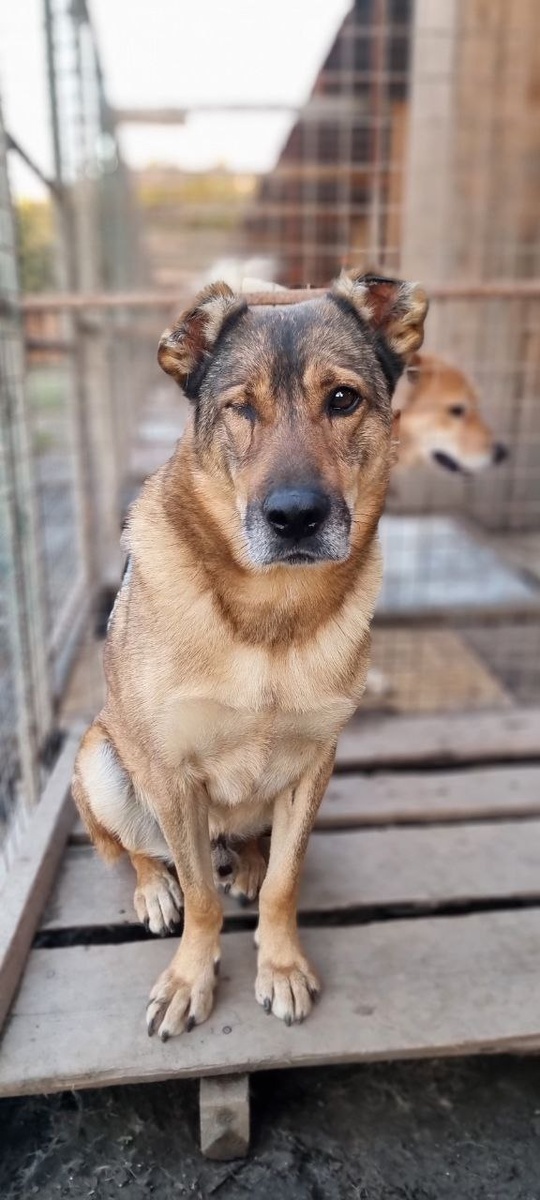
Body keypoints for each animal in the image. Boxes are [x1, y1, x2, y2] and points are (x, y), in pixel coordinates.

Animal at [72, 269, 428, 1039]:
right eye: (241, 408)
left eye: (343, 399)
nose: (295, 517)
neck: (272, 616)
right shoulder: (171, 773)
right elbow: (200, 896)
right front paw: (190, 978)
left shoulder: (315, 762)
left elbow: (287, 884)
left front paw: (282, 963)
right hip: (101, 760)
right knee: (136, 849)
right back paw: (155, 889)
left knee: (255, 852)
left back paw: (249, 863)